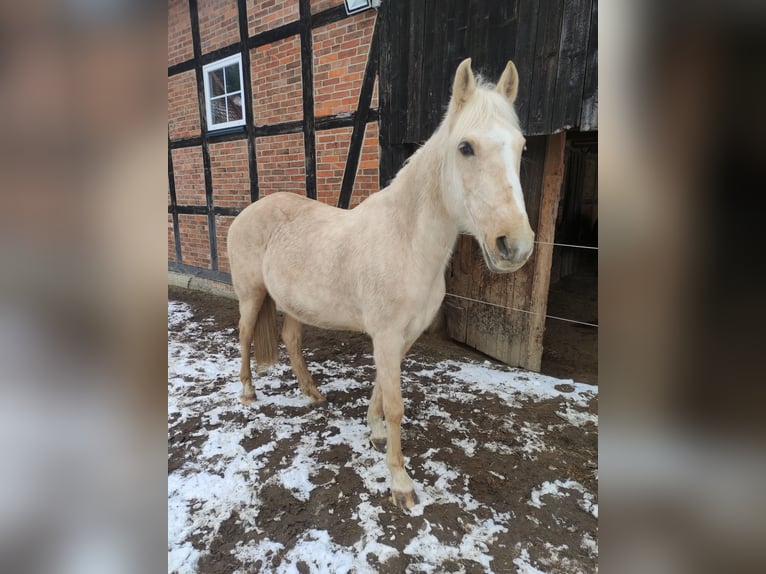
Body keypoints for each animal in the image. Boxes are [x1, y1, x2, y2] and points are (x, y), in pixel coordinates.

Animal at [230, 57, 536, 508]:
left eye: (521, 147)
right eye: (465, 147)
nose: (514, 245)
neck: (406, 241)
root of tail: (246, 212)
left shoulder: (402, 336)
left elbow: (379, 388)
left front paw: (373, 432)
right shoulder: (387, 335)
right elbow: (396, 406)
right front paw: (401, 483)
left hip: (295, 303)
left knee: (291, 340)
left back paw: (313, 394)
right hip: (252, 297)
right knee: (246, 336)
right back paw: (249, 394)